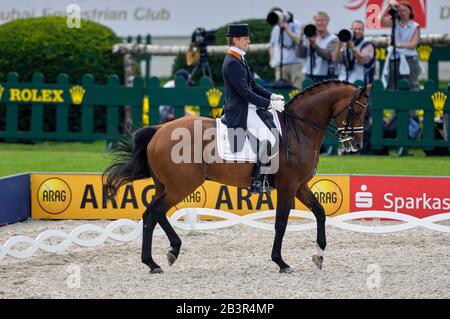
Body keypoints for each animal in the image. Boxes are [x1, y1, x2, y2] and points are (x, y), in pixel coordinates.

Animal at [103, 80, 370, 276]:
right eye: (358, 110)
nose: (356, 145)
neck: (300, 130)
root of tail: (160, 130)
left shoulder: (300, 185)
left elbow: (320, 213)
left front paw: (319, 256)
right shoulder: (288, 186)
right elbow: (281, 223)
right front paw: (281, 262)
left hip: (166, 186)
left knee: (153, 214)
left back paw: (159, 258)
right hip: (180, 186)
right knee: (154, 212)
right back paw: (161, 258)